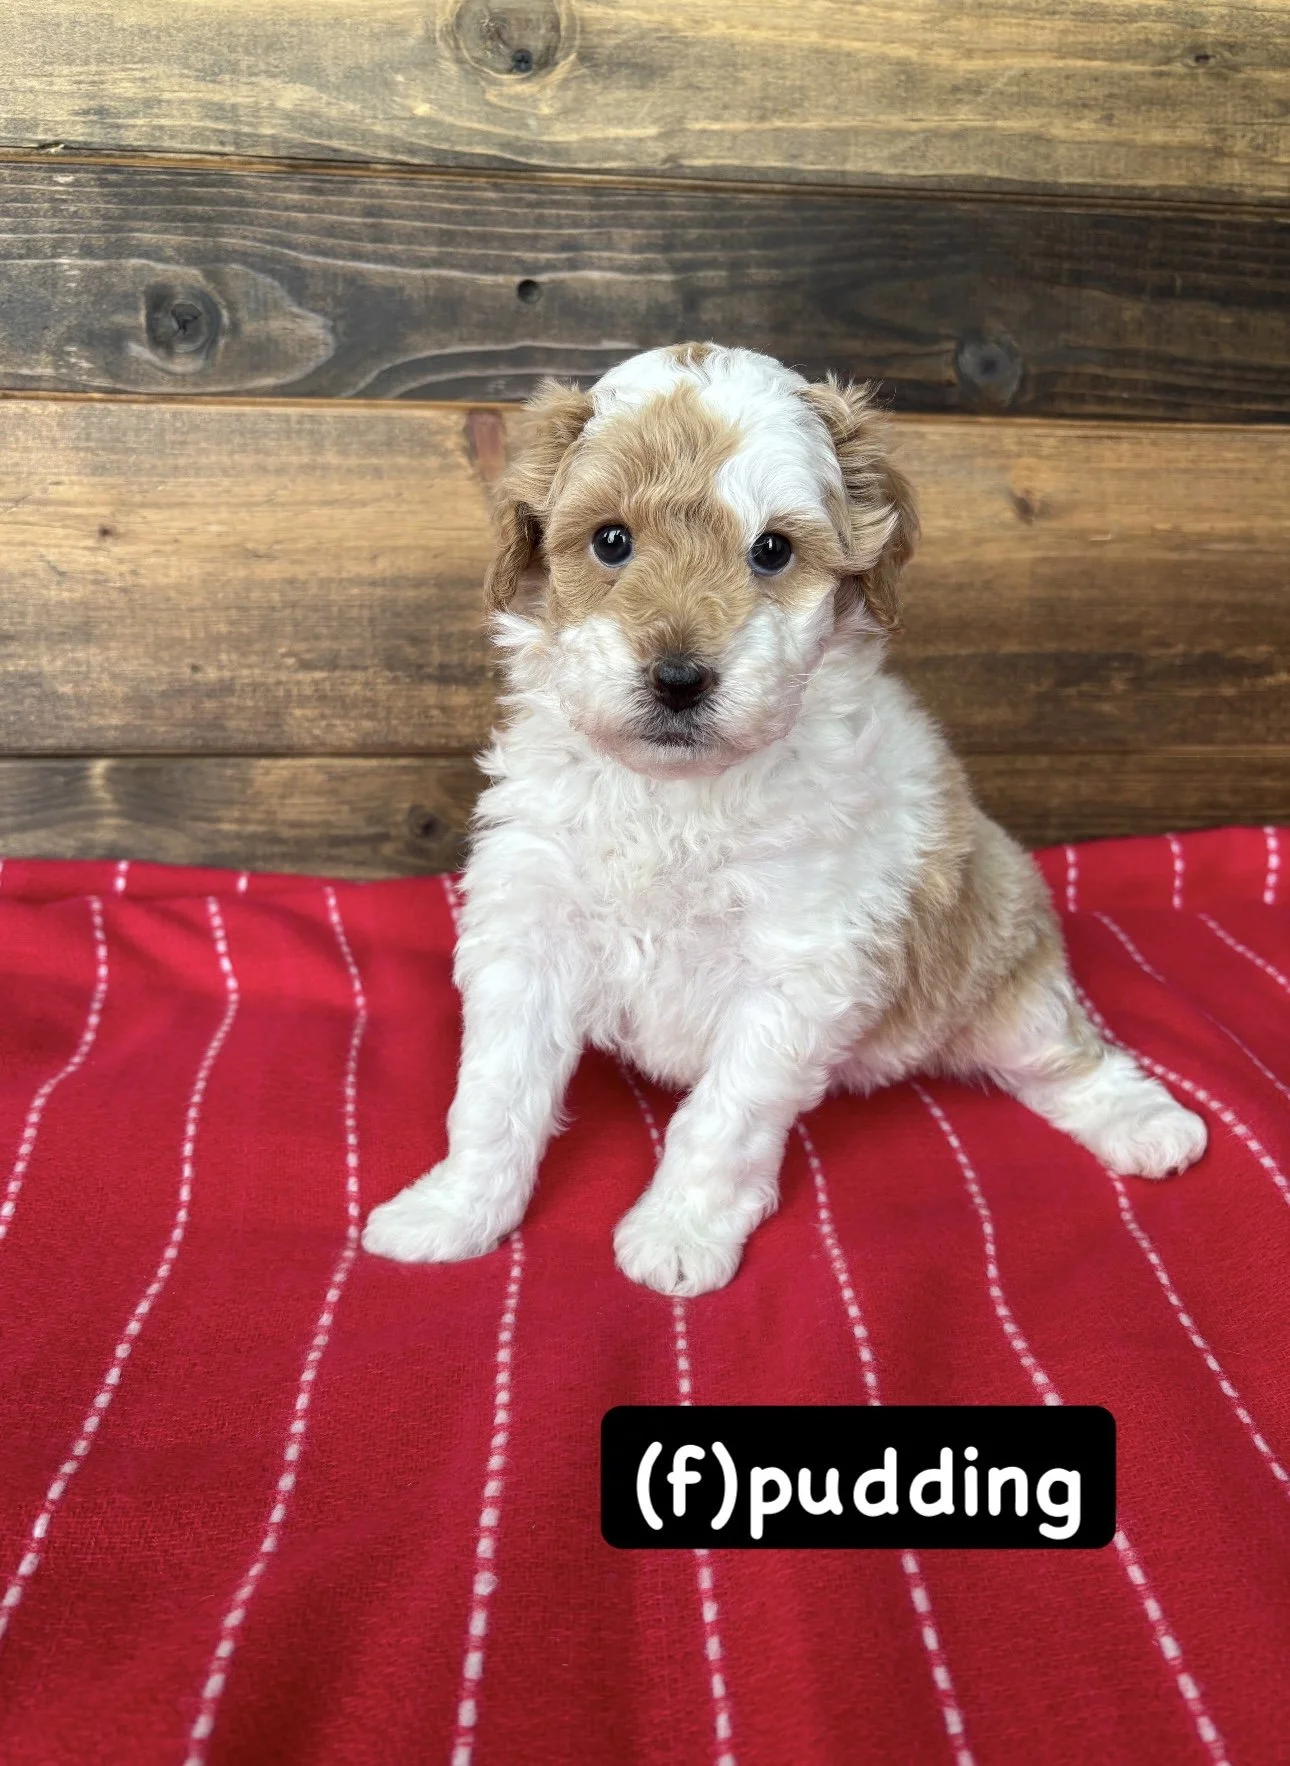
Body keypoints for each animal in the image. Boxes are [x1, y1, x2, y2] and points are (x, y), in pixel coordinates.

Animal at [362, 343, 1207, 1296]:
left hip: (1001, 962)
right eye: (611, 541)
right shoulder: (529, 929)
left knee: (1065, 1055)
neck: (677, 793)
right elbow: (495, 1095)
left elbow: (721, 1117)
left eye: (771, 550)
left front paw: (679, 1233)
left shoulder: (800, 969)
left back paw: (1149, 1127)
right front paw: (454, 1210)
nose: (679, 678)